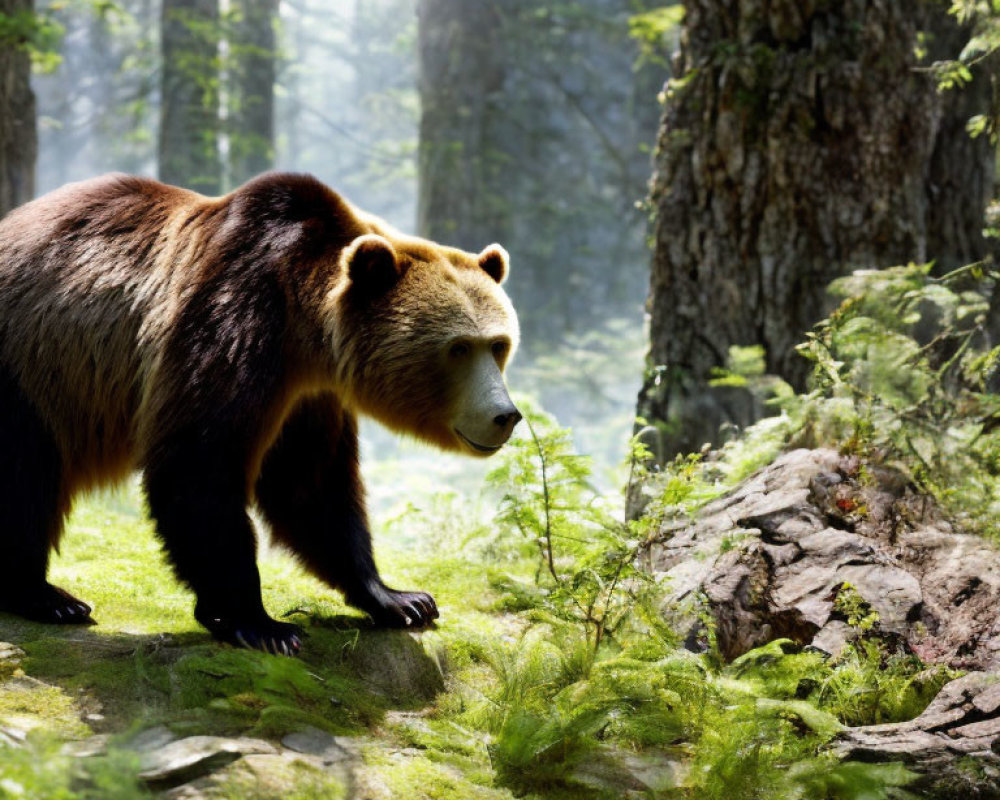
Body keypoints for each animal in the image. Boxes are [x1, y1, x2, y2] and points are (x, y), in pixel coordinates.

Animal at [0, 172, 520, 652]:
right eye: (458, 348)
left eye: (498, 344)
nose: (505, 415)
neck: (303, 326)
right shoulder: (233, 323)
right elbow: (198, 466)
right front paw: (261, 623)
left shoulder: (307, 396)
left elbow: (310, 487)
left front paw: (401, 599)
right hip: (33, 366)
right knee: (27, 475)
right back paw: (48, 596)